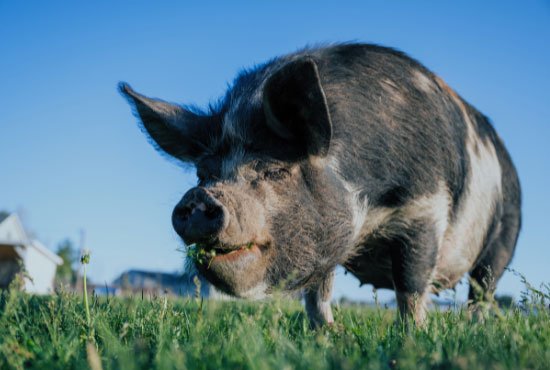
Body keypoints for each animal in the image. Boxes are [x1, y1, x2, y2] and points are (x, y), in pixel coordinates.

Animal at [119, 43, 520, 326]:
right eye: (203, 174)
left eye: (275, 171)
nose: (201, 197)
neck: (369, 214)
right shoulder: (326, 235)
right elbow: (317, 292)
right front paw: (325, 334)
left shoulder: (425, 207)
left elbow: (410, 284)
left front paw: (411, 337)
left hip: (504, 238)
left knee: (482, 291)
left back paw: (471, 329)